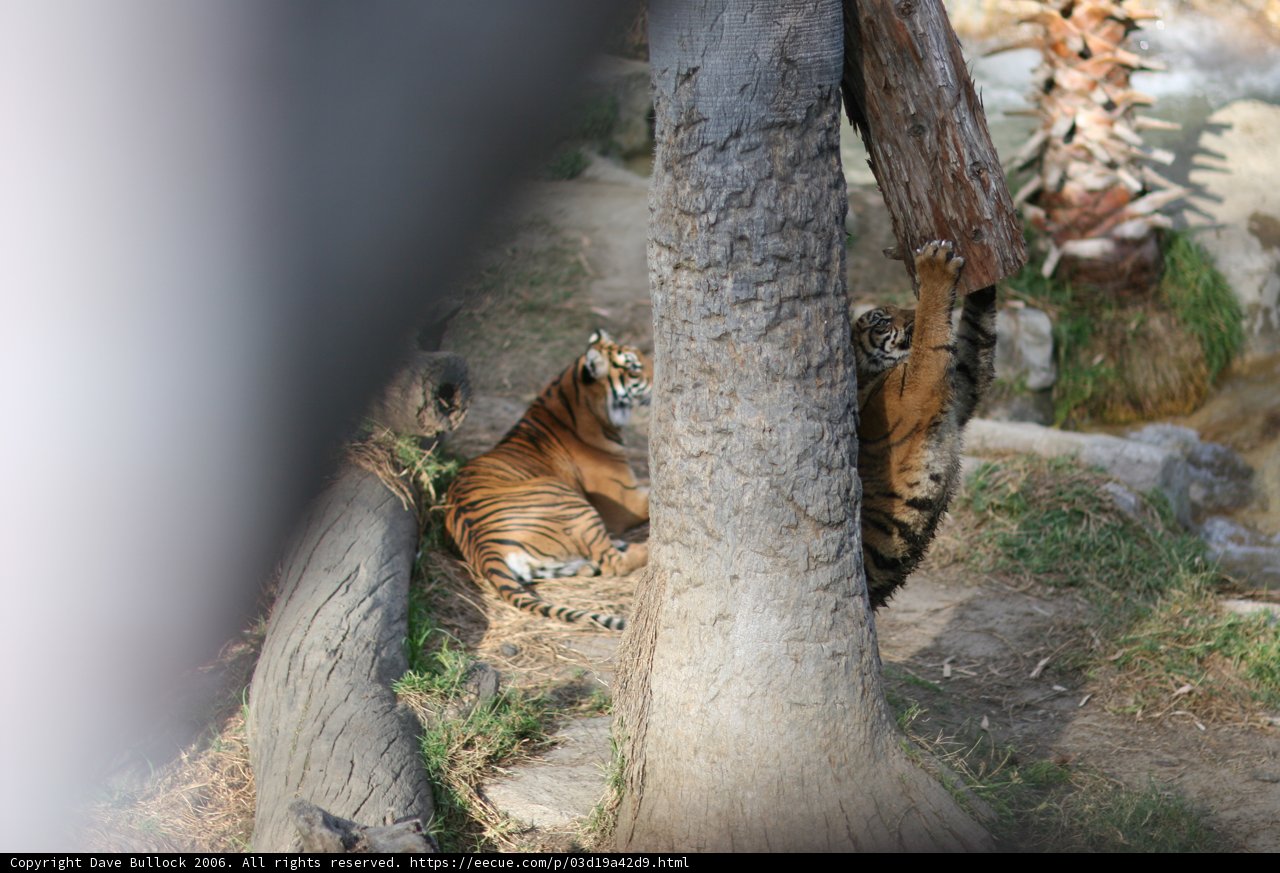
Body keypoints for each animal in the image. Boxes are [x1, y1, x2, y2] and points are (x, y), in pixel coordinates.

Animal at [854, 240, 998, 608]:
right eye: (882, 319)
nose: (910, 315)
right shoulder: (916, 386)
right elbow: (931, 336)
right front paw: (934, 266)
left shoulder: (961, 384)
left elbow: (975, 333)